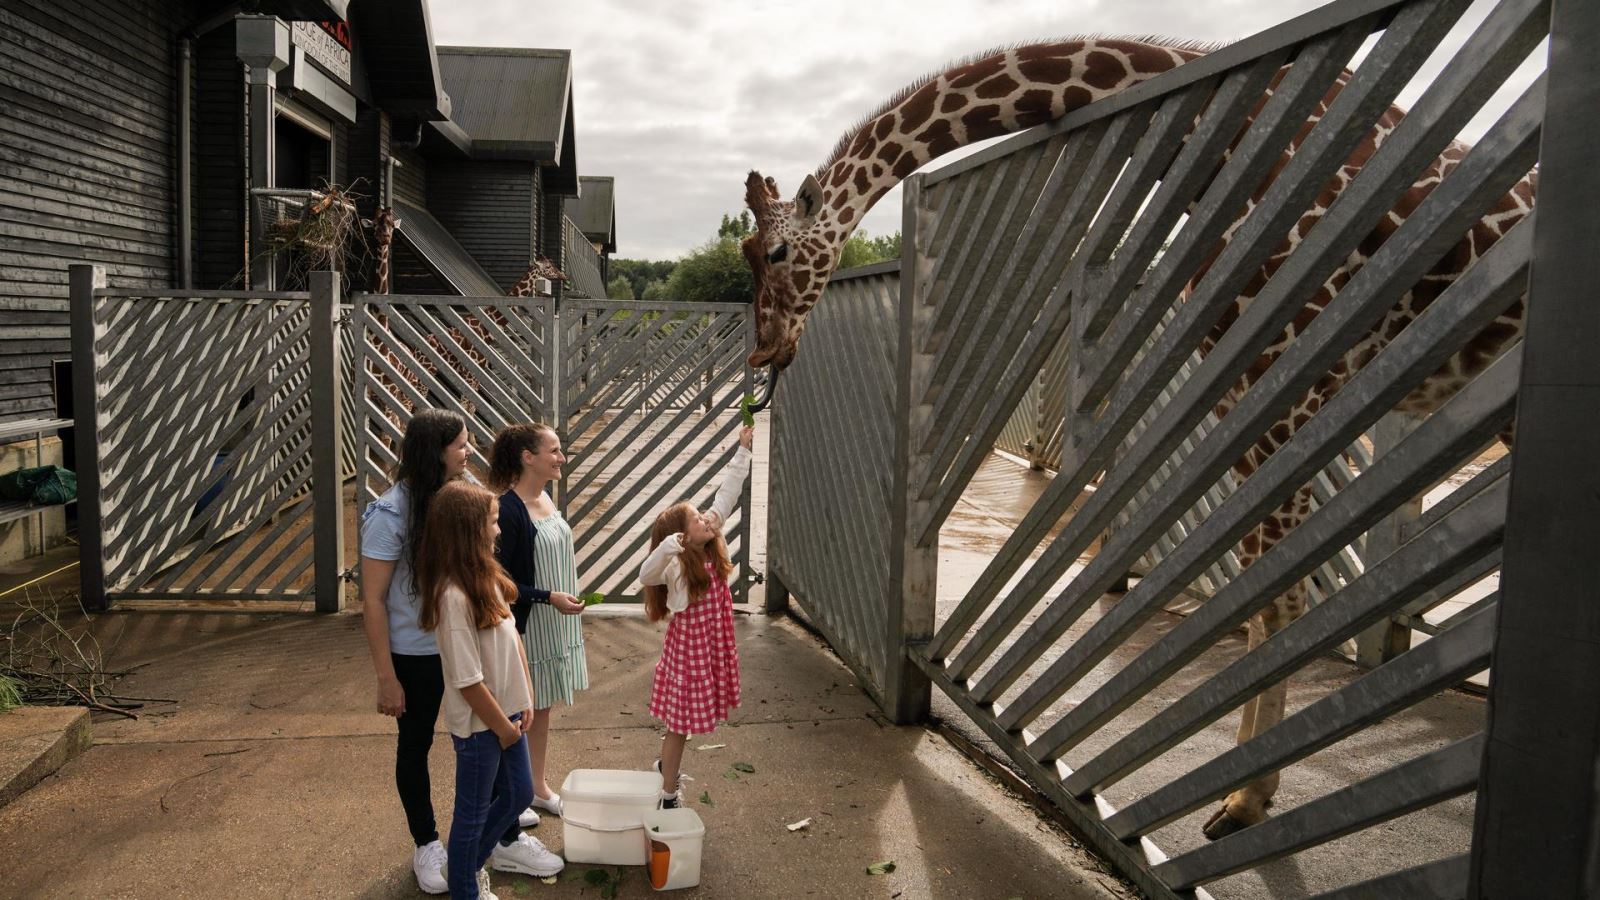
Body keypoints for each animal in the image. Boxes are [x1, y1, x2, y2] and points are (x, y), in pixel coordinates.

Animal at [739, 38, 1536, 839]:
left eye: (775, 254)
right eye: (745, 254)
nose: (766, 349)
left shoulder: (1293, 374)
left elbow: (1278, 595)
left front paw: (1246, 800)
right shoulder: (1247, 383)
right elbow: (1259, 589)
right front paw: (1247, 790)